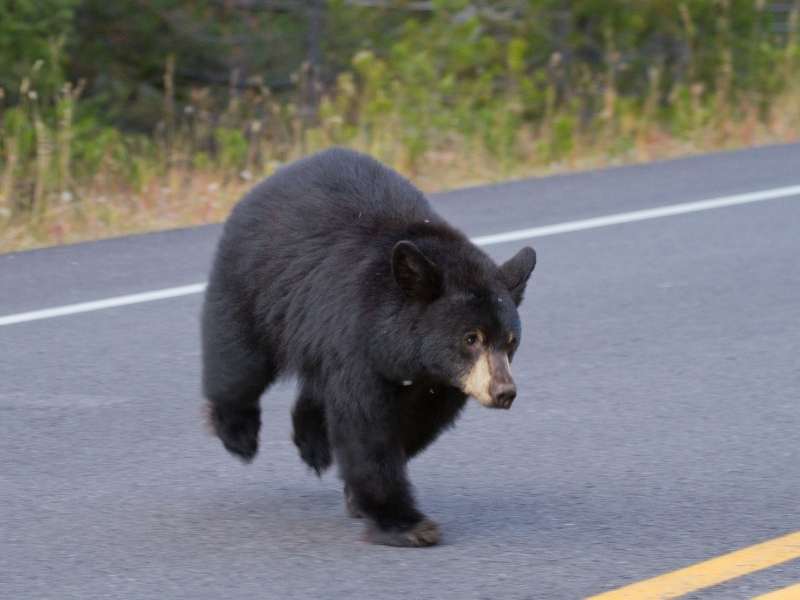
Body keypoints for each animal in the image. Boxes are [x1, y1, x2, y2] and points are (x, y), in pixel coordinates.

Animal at [203, 146, 536, 548]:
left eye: (511, 342)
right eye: (470, 338)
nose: (503, 391)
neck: (405, 352)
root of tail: (271, 179)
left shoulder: (438, 382)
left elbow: (416, 422)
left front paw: (358, 496)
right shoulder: (356, 342)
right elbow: (365, 426)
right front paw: (406, 523)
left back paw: (312, 441)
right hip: (254, 285)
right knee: (239, 362)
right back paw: (239, 434)